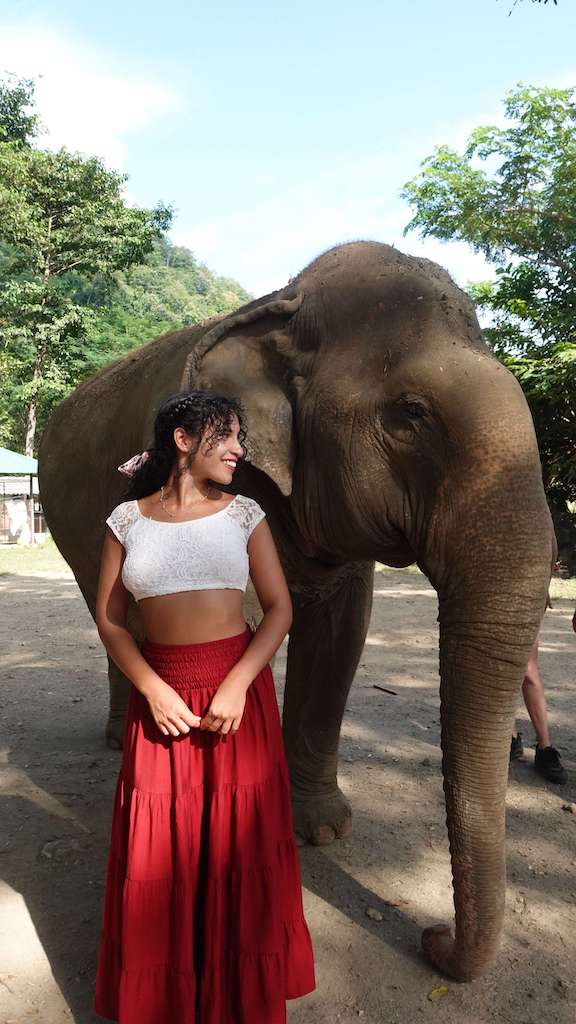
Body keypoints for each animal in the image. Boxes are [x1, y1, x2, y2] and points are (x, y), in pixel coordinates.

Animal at [39, 239, 553, 983]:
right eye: (412, 413)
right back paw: (117, 741)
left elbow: (341, 633)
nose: (432, 938)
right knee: (109, 610)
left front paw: (322, 829)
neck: (282, 303)